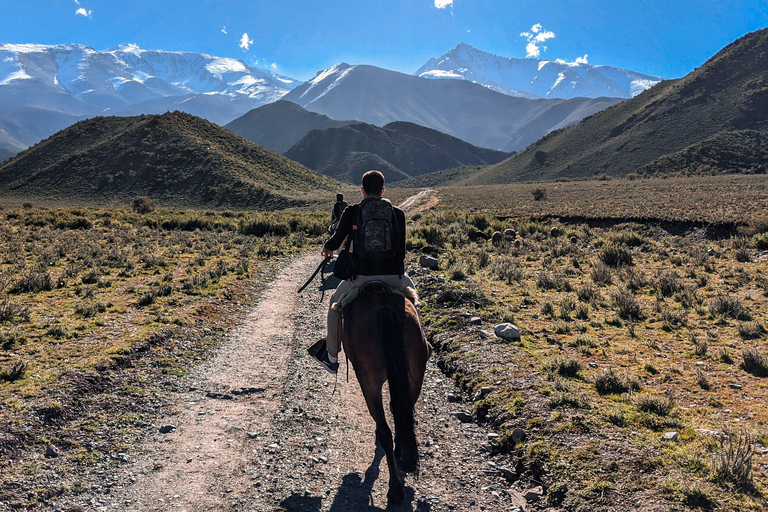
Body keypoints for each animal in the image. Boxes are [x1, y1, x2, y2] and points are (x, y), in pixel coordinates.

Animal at [342, 286, 432, 506]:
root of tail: (384, 309)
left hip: (368, 380)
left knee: (385, 430)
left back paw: (395, 489)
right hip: (415, 373)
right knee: (403, 414)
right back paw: (403, 457)